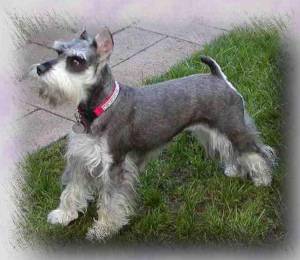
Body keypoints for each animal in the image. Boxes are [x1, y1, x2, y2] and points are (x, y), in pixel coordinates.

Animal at [29, 27, 276, 240]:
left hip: (233, 127)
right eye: (58, 52)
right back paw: (234, 169)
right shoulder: (80, 159)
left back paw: (263, 178)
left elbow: (110, 201)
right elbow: (72, 190)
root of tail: (218, 77)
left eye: (76, 61)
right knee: (229, 149)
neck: (99, 109)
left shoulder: (115, 166)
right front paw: (63, 215)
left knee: (257, 152)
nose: (40, 68)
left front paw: (103, 230)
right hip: (213, 131)